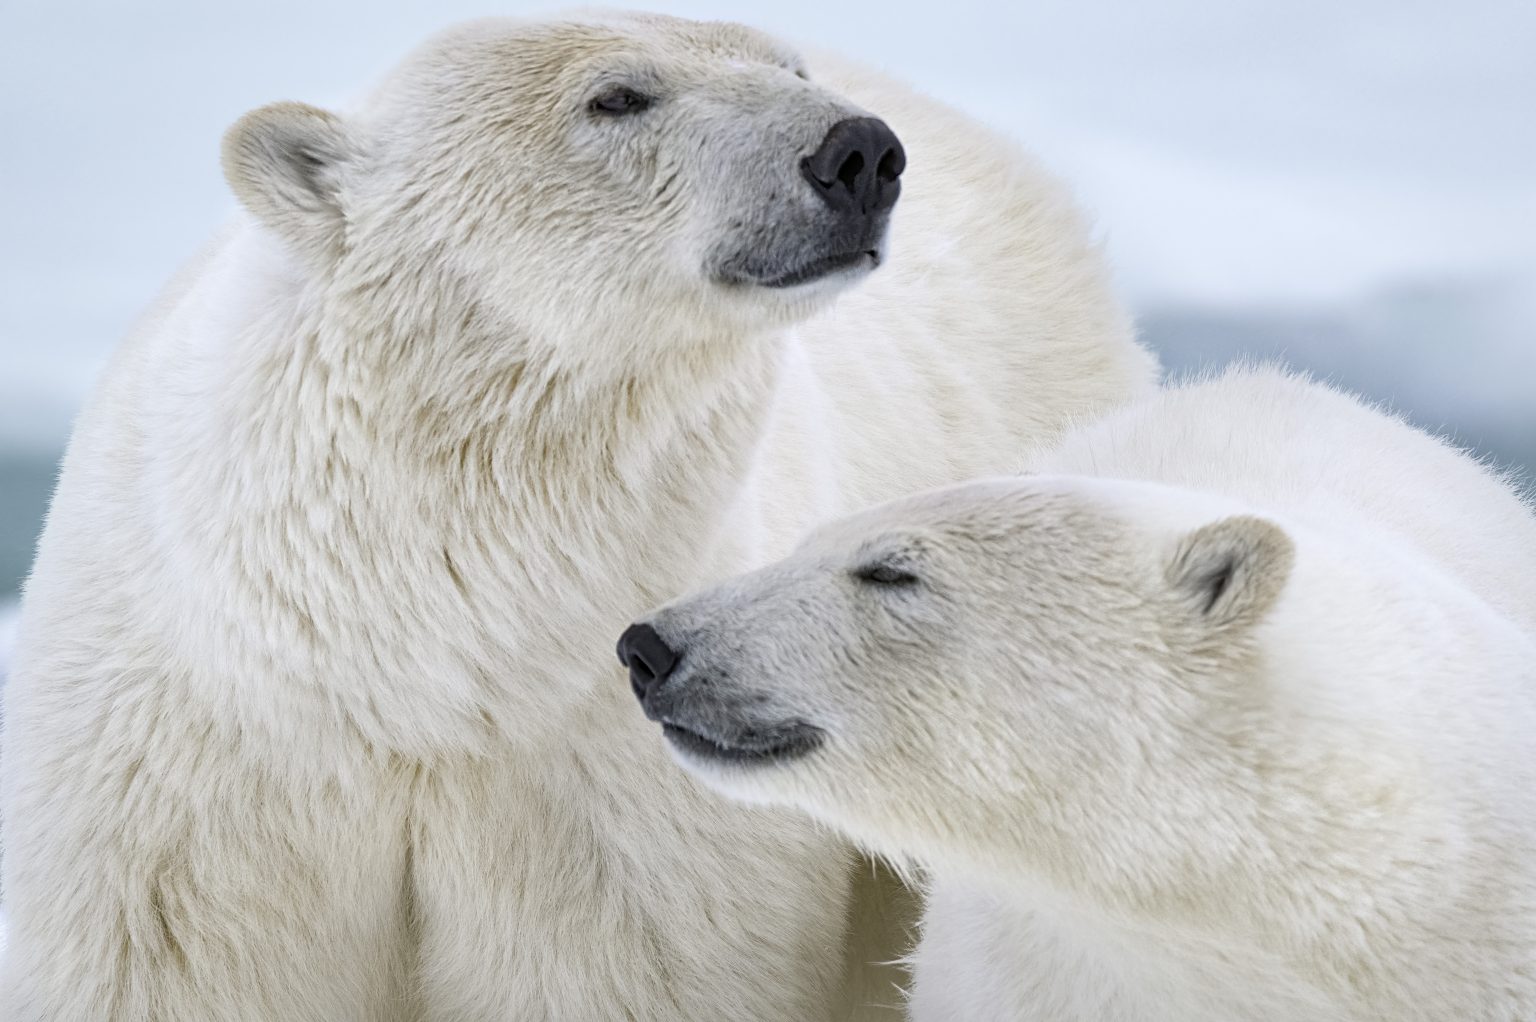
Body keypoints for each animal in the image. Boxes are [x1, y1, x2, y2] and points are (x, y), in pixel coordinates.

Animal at [0, 10, 1156, 1021]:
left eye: (787, 66)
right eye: (618, 95)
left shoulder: (626, 777)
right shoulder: (187, 764)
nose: (859, 150)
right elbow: (167, 961)